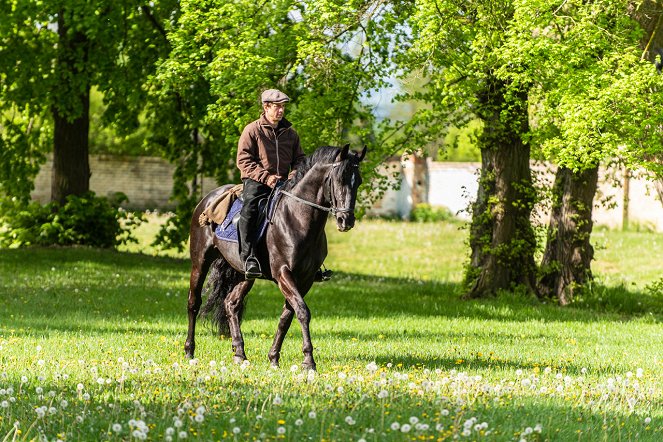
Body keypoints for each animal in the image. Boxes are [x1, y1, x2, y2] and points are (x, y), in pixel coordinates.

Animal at [184, 144, 366, 370]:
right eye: (339, 179)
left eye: (358, 181)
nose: (345, 220)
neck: (297, 218)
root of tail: (207, 199)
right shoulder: (283, 273)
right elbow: (303, 312)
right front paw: (308, 361)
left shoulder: (305, 279)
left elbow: (287, 316)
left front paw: (274, 358)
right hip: (200, 262)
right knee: (194, 303)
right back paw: (190, 351)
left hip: (245, 274)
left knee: (231, 304)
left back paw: (240, 354)